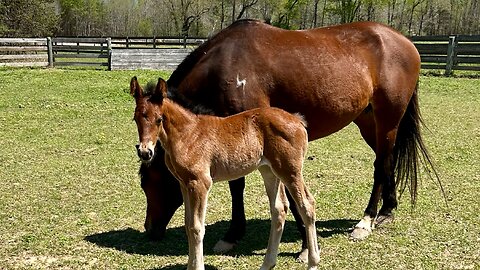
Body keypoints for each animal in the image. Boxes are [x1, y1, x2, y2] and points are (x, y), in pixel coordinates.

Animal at [129, 77, 320, 268]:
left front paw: (198, 266)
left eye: (159, 119)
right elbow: (188, 224)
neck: (187, 134)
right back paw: (267, 264)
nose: (145, 152)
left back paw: (312, 262)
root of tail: (298, 120)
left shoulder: (200, 183)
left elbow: (197, 227)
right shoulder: (184, 183)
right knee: (279, 209)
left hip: (290, 171)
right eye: (135, 118)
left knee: (307, 205)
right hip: (269, 171)